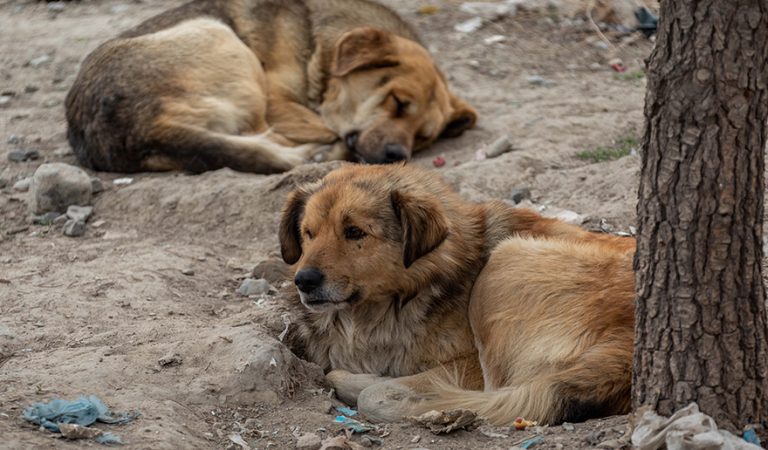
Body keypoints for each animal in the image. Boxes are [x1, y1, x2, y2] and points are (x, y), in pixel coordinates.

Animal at [66, 0, 476, 174]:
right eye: (397, 102)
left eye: (424, 137)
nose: (397, 155)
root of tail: (143, 129)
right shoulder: (280, 101)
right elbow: (320, 127)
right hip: (222, 38)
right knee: (264, 136)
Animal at [282, 163, 636, 424]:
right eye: (308, 234)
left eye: (354, 232)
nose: (304, 281)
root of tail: (625, 343)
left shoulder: (469, 364)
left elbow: (378, 390)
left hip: (503, 262)